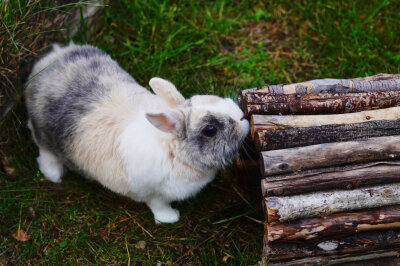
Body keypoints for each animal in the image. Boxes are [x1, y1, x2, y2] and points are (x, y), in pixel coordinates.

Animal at [23, 43, 248, 222]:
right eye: (210, 130)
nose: (242, 117)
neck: (173, 150)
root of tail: (47, 63)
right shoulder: (151, 193)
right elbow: (158, 205)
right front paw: (170, 218)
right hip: (43, 132)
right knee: (44, 151)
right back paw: (53, 175)